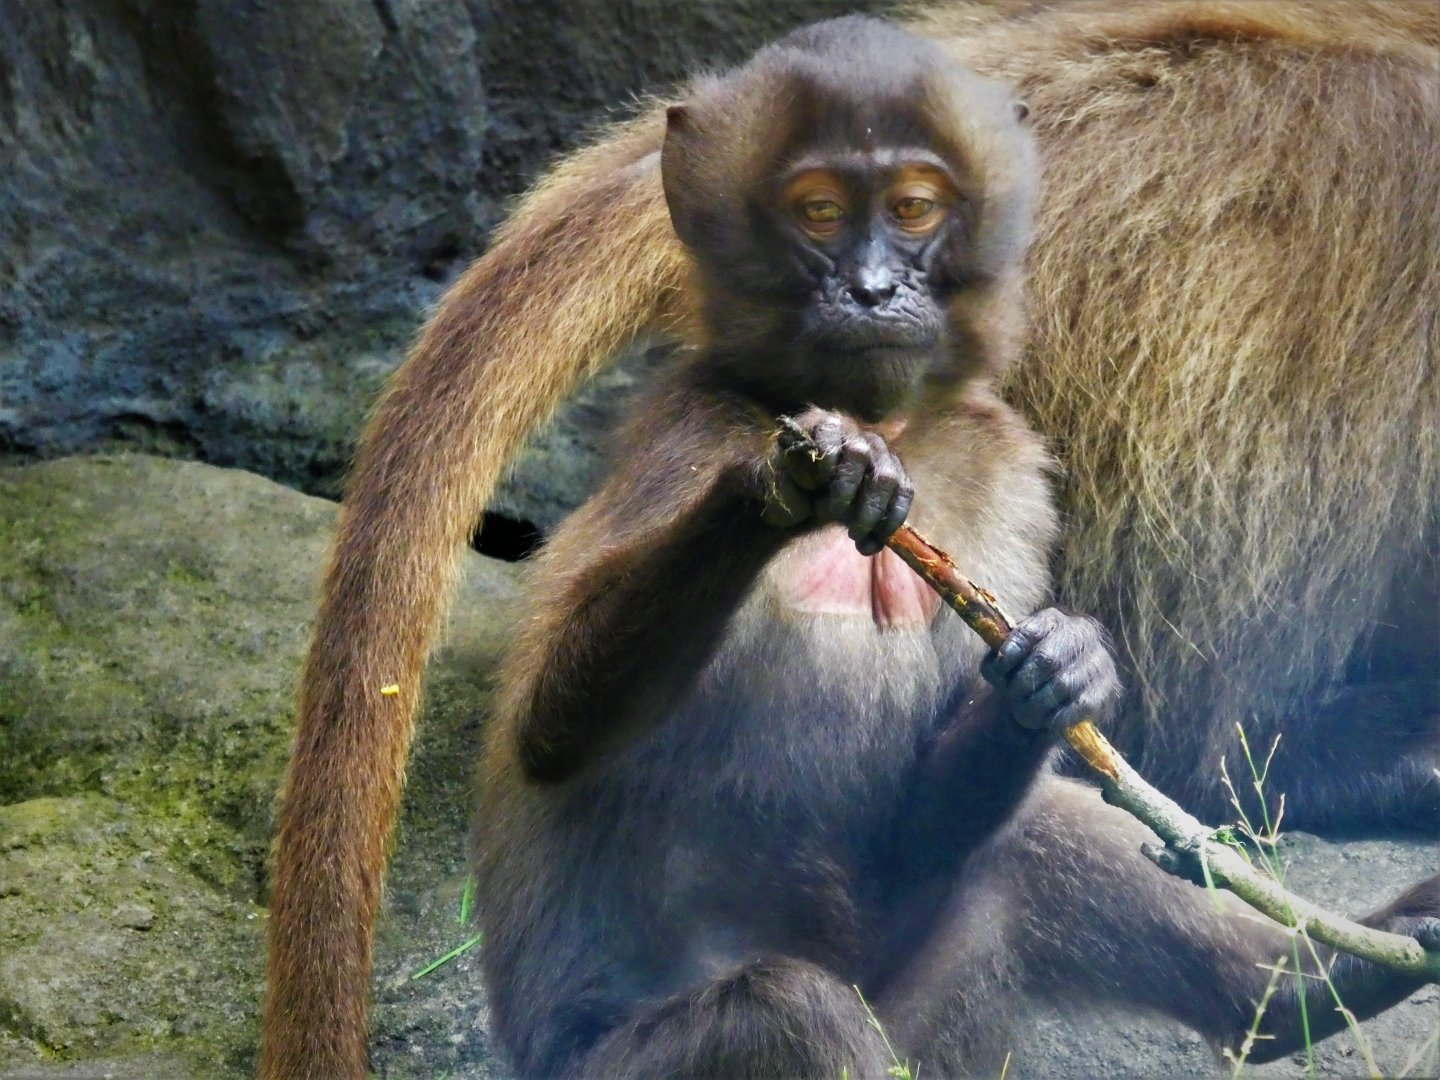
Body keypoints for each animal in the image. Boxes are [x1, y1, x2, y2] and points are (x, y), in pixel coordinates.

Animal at [261, 2, 1440, 1075]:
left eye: (915, 210)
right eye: (818, 214)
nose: (874, 290)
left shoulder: (1011, 465)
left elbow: (928, 813)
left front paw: (1061, 673)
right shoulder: (681, 434)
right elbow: (551, 725)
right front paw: (785, 490)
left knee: (1012, 855)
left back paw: (1308, 984)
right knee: (791, 1011)